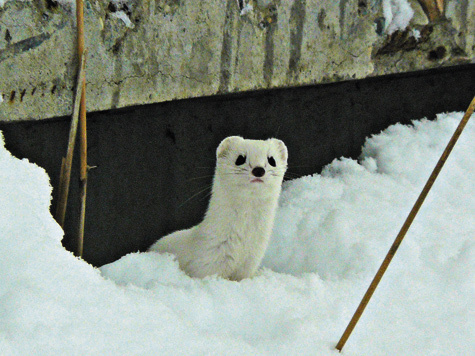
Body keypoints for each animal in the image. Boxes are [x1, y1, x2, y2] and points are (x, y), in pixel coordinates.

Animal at [151, 136, 288, 280]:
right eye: (240, 158)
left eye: (272, 160)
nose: (258, 170)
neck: (242, 243)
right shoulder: (207, 260)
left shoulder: (251, 260)